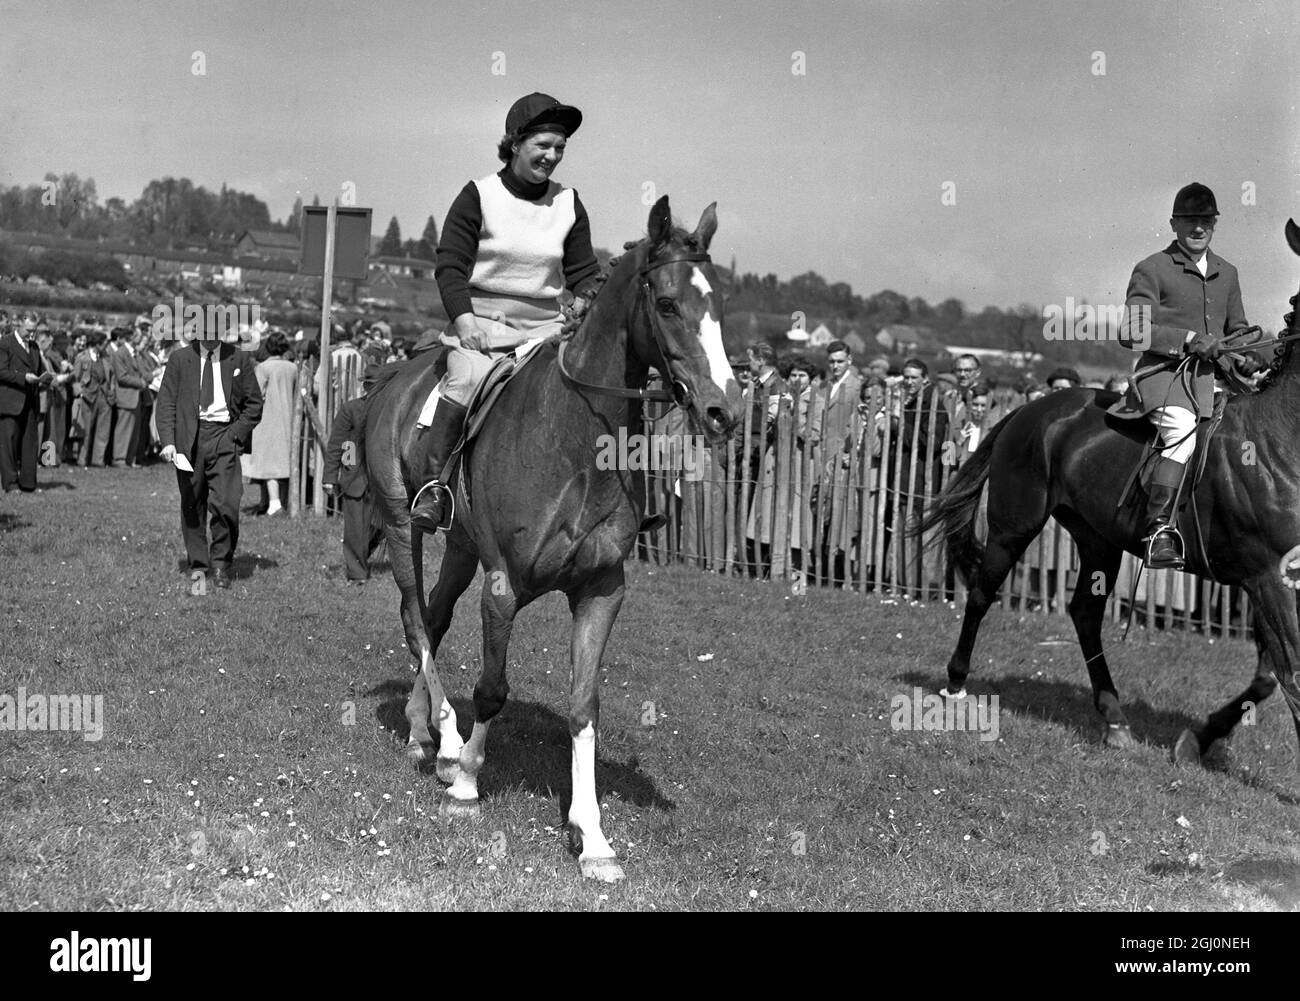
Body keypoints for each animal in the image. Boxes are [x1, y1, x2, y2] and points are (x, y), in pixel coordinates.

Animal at [361, 197, 743, 883]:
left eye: (720, 306)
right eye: (668, 303)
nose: (725, 410)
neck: (575, 444)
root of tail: (397, 374)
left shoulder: (601, 591)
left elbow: (584, 707)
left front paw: (592, 836)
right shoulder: (502, 586)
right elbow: (492, 688)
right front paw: (468, 783)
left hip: (459, 551)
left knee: (433, 617)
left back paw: (422, 731)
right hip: (404, 527)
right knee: (414, 620)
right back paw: (446, 739)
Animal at [915, 218, 1300, 764]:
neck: (1280, 440)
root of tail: (1032, 408)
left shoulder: (1269, 584)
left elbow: (1270, 676)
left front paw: (1198, 740)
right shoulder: (1268, 578)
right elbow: (1290, 674)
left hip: (1098, 538)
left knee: (1084, 613)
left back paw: (1114, 718)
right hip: (1015, 525)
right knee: (983, 593)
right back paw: (956, 683)